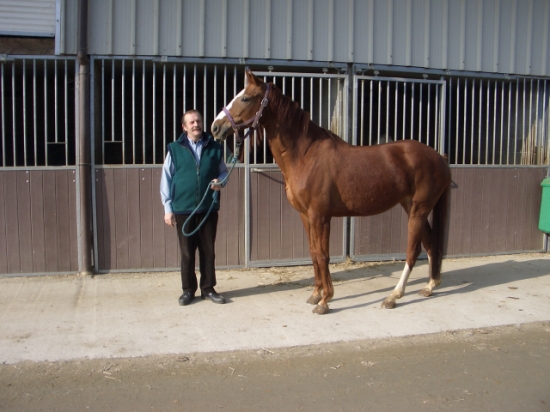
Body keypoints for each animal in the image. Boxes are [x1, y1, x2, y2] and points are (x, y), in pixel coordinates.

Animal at [211, 71, 452, 316]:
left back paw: (393, 296)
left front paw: (325, 300)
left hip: (419, 210)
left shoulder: (320, 217)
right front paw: (316, 294)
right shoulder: (306, 216)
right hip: (411, 206)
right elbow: (313, 252)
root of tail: (438, 157)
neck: (305, 155)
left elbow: (322, 254)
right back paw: (429, 287)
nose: (215, 127)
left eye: (245, 98)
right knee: (430, 243)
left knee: (413, 251)